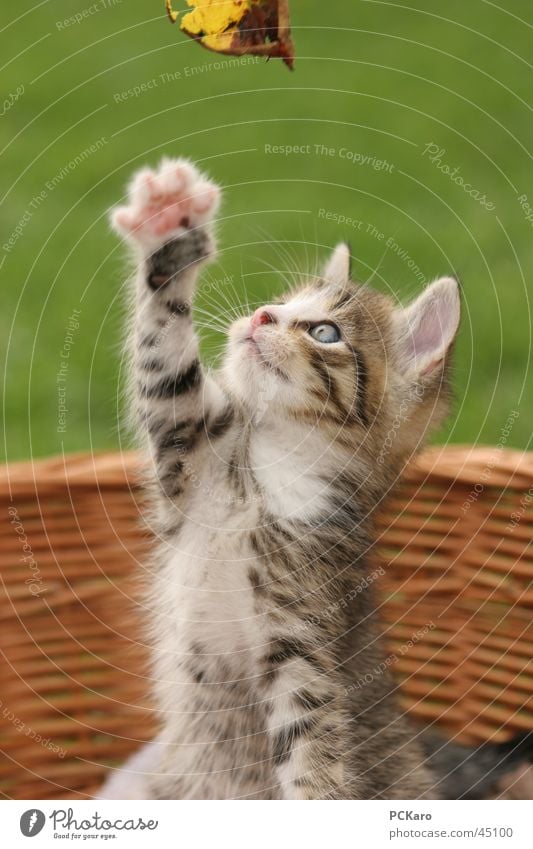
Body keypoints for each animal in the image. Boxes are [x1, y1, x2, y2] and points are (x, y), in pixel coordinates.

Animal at [100, 156, 528, 800]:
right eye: (279, 301)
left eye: (324, 331)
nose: (260, 315)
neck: (263, 478)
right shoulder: (186, 449)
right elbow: (164, 358)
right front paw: (167, 223)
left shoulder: (303, 640)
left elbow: (312, 752)